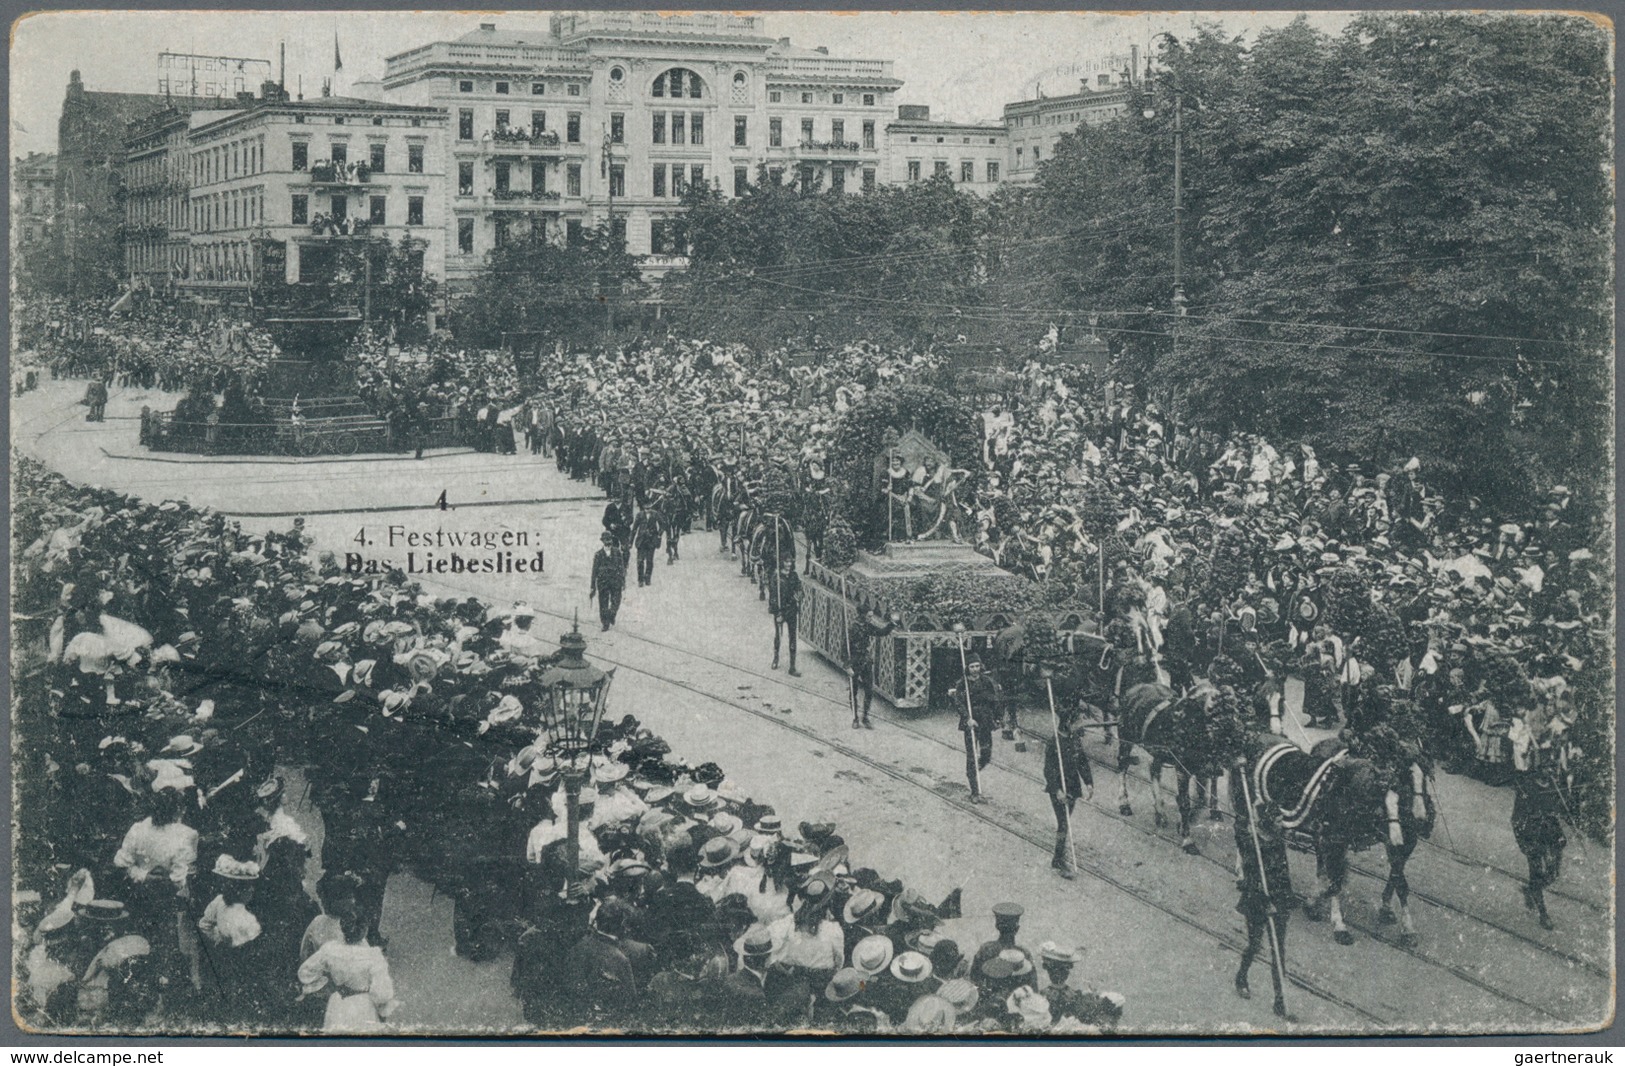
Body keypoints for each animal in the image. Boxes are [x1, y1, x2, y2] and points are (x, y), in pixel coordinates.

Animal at [1111, 685, 1235, 851]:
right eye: (1205, 705)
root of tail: (1134, 689)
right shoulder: (1182, 770)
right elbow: (1185, 803)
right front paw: (1188, 840)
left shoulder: (1207, 768)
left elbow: (1201, 797)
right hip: (1126, 738)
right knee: (1122, 766)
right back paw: (1124, 804)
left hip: (1158, 751)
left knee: (1154, 770)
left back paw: (1160, 813)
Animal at [1248, 728, 1430, 942]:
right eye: (1406, 775)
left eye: (1426, 777)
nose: (1420, 820)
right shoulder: (1333, 839)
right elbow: (1336, 879)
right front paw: (1337, 922)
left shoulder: (1402, 843)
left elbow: (1398, 881)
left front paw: (1405, 926)